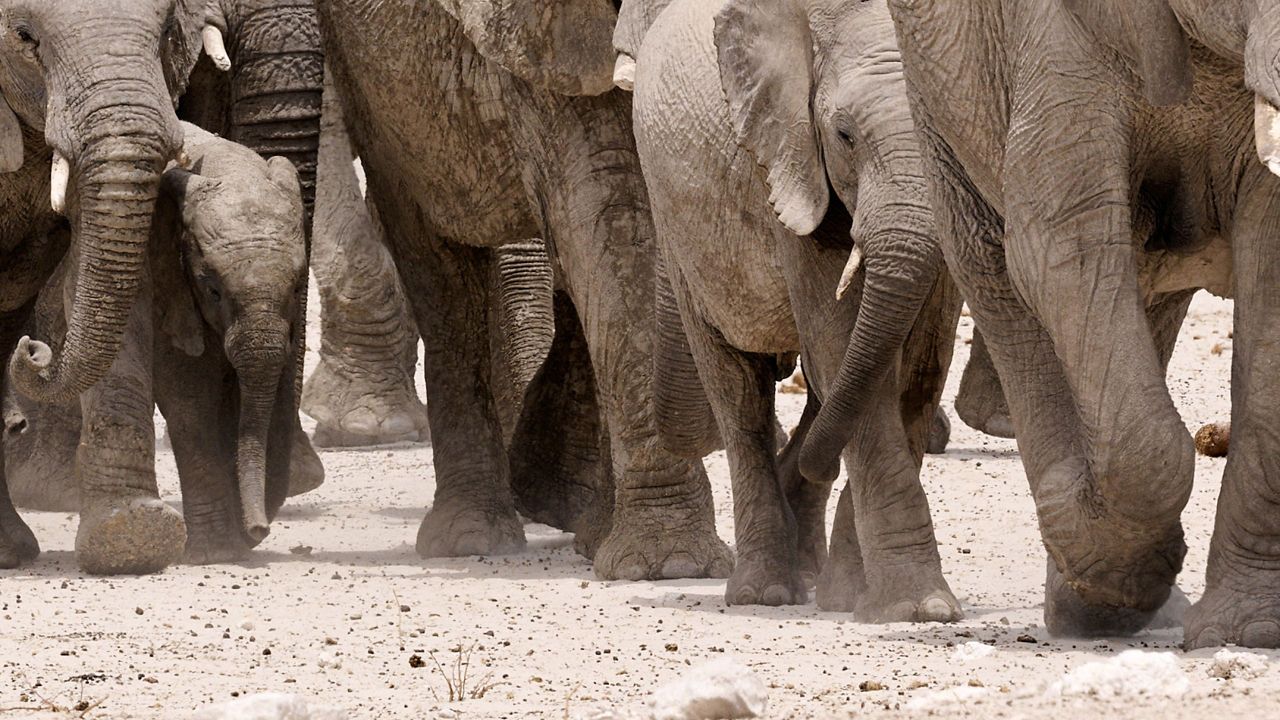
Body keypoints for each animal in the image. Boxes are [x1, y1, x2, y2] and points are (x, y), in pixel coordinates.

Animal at [314, 0, 737, 576]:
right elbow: (607, 210)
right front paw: (672, 564)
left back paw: (585, 530)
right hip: (374, 92)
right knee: (441, 280)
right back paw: (472, 537)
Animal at [629, 0, 962, 617]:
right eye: (845, 135)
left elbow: (921, 365)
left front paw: (858, 598)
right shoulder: (788, 161)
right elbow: (840, 345)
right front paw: (916, 607)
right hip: (678, 229)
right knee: (739, 396)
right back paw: (764, 591)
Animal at [885, 0, 1280, 645]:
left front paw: (1247, 632)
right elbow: (1061, 240)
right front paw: (1112, 581)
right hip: (934, 94)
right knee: (996, 268)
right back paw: (1081, 580)